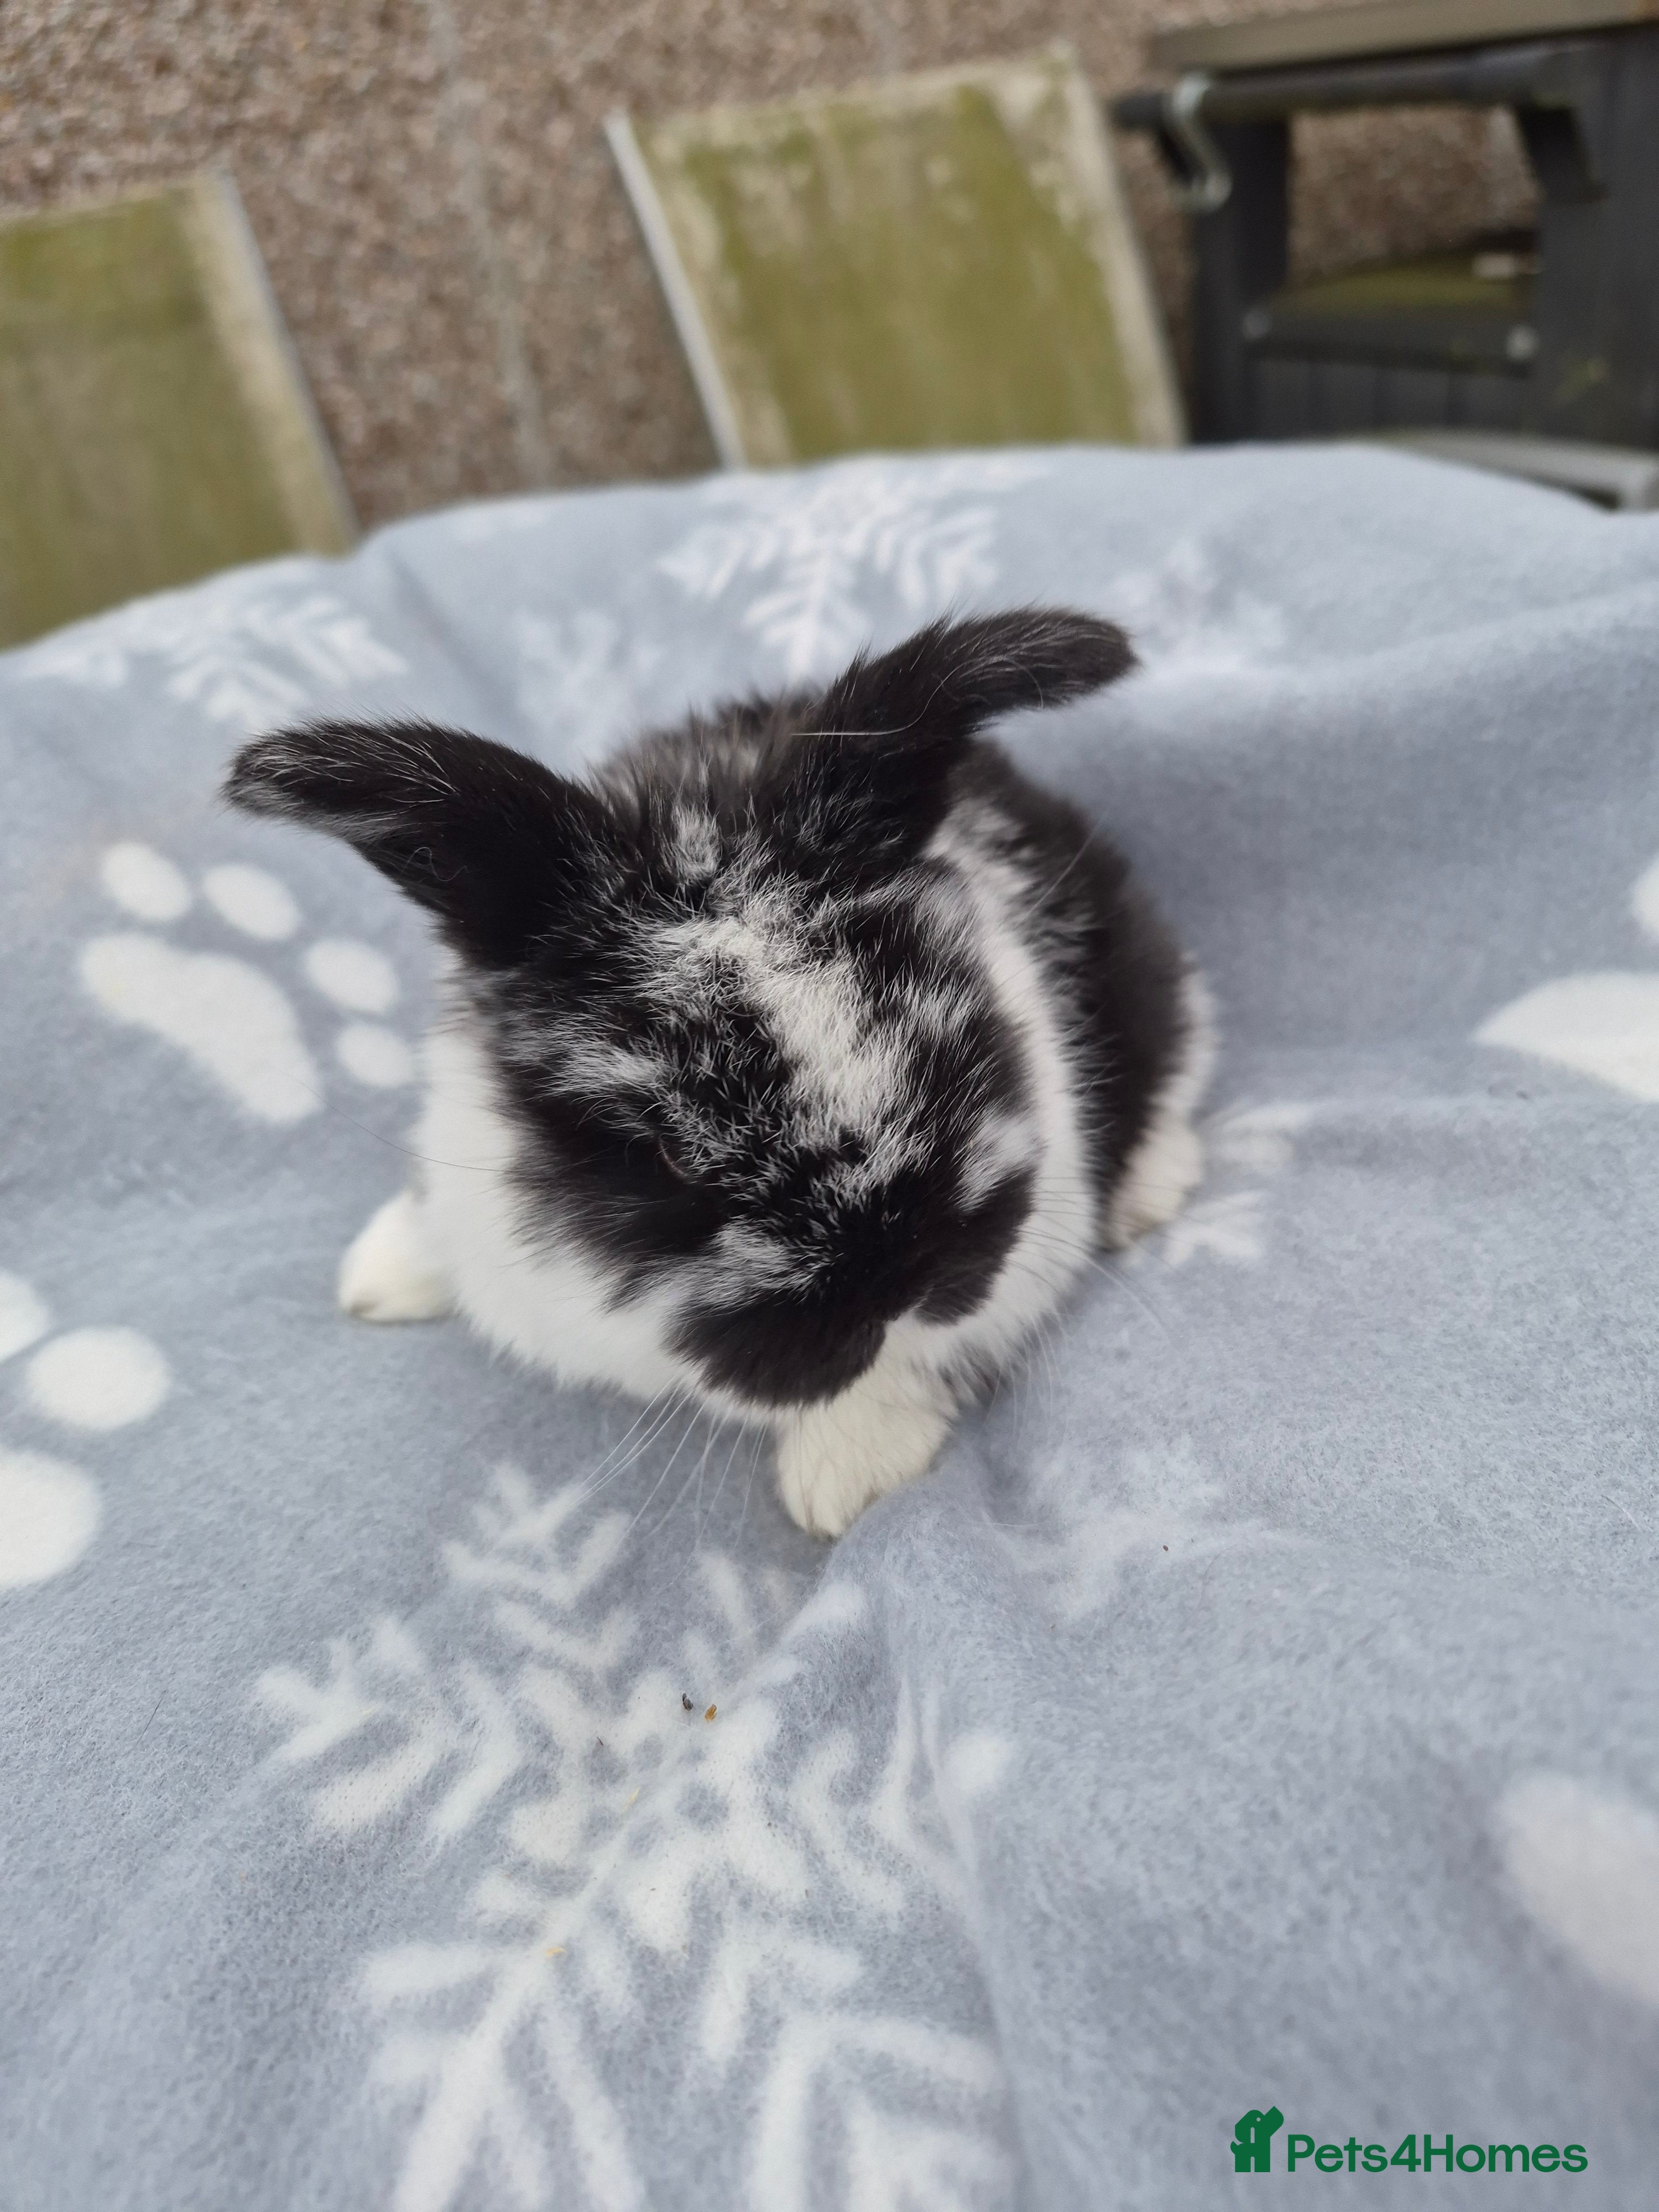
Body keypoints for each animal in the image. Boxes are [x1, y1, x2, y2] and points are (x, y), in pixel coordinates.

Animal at [224, 609, 1212, 1537]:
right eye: (667, 1154)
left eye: (945, 1053)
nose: (898, 1285)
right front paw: (377, 1278)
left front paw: (846, 1474)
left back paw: (1145, 1197)